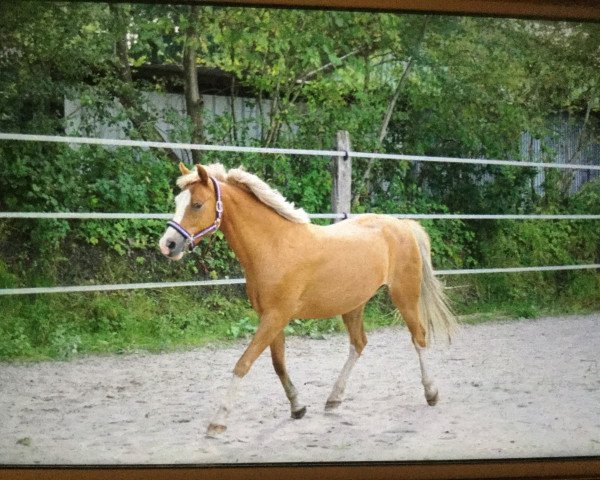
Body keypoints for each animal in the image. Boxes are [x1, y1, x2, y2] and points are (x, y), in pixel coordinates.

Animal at [157, 161, 458, 436]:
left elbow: (243, 363)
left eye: (197, 204)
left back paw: (431, 393)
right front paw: (297, 407)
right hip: (354, 304)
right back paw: (334, 399)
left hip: (404, 295)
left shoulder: (276, 316)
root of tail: (403, 226)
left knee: (418, 337)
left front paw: (218, 421)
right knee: (359, 343)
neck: (274, 246)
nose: (168, 245)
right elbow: (278, 364)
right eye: (178, 201)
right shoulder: (271, 317)